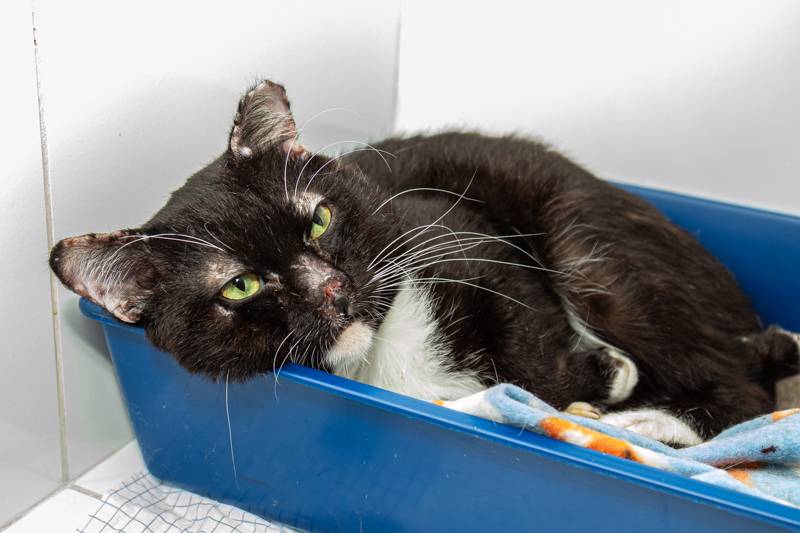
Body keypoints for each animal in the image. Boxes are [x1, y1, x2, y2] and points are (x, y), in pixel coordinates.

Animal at [49, 80, 800, 446]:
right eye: (239, 285)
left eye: (319, 218)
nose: (332, 287)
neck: (381, 353)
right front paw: (600, 380)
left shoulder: (463, 237)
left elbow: (530, 353)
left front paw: (604, 379)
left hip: (590, 249)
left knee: (745, 391)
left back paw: (645, 420)